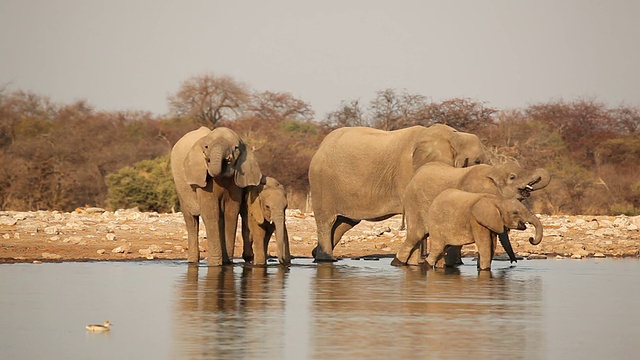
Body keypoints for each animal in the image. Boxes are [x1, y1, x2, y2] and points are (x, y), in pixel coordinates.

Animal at [171, 125, 262, 266]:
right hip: (180, 187)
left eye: (236, 148)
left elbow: (231, 213)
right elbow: (210, 213)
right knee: (191, 220)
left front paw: (227, 263)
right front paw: (215, 264)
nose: (228, 159)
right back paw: (192, 261)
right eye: (206, 147)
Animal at [308, 124, 484, 262]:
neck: (455, 136)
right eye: (477, 161)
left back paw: (316, 254)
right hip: (321, 183)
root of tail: (321, 146)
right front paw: (419, 263)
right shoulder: (410, 172)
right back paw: (326, 260)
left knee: (344, 223)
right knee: (327, 221)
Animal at [390, 162, 552, 266]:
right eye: (512, 177)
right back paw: (398, 263)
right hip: (414, 204)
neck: (493, 170)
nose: (514, 262)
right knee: (416, 235)